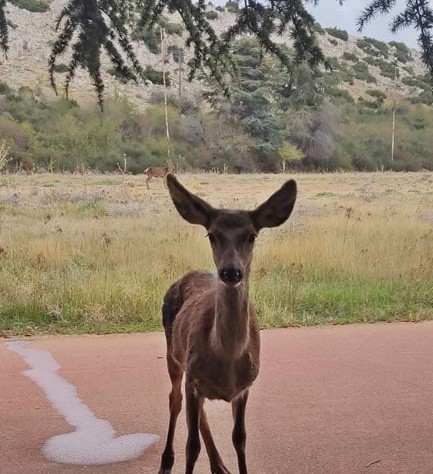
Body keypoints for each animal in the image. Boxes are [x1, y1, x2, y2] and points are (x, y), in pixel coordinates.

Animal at [159, 175, 296, 474]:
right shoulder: (194, 377)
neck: (227, 359)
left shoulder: (244, 387)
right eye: (212, 235)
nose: (231, 272)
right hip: (173, 354)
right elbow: (191, 447)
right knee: (174, 401)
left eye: (252, 235)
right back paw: (166, 461)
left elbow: (240, 438)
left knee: (200, 415)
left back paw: (220, 465)